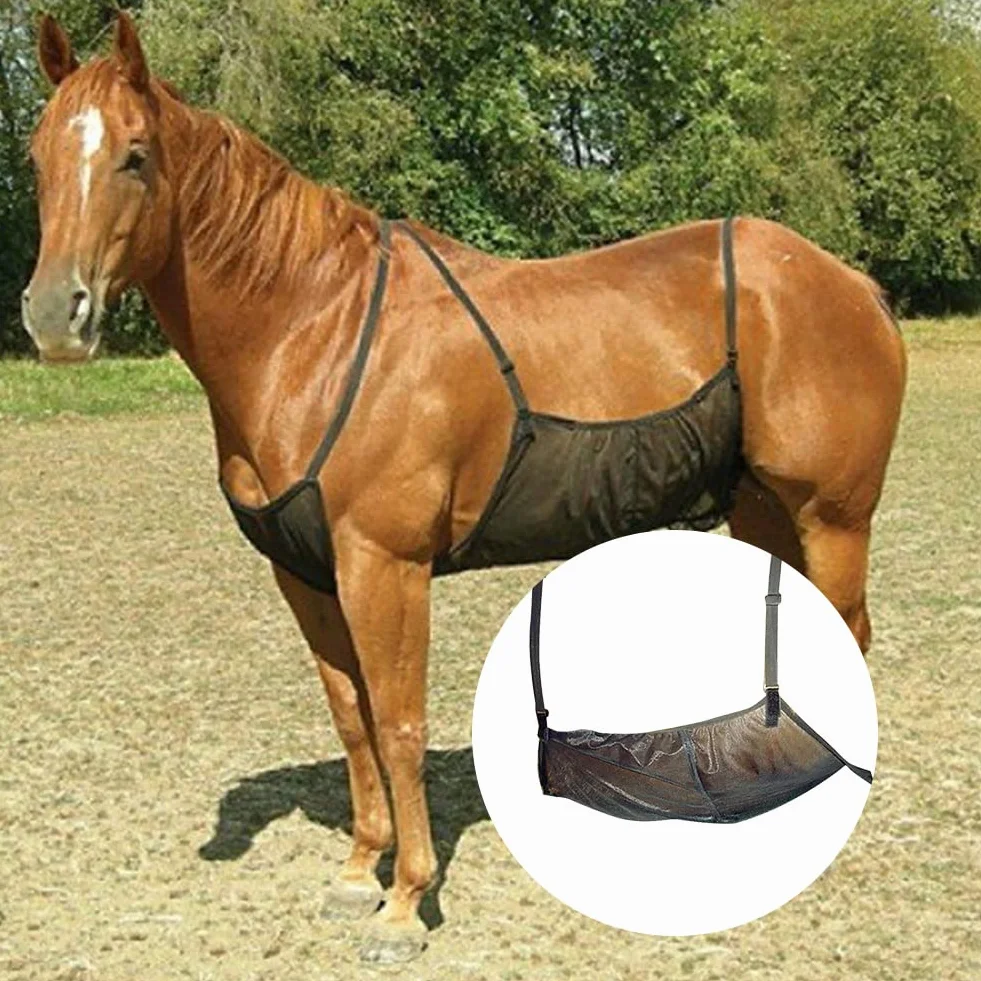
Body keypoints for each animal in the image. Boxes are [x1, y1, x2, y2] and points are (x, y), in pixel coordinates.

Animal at [23, 13, 906, 963]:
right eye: (37, 157)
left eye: (135, 156)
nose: (54, 314)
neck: (314, 329)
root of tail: (850, 282)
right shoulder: (305, 573)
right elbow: (351, 716)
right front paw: (356, 872)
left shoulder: (384, 565)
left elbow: (398, 722)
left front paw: (406, 901)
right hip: (761, 511)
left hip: (831, 516)